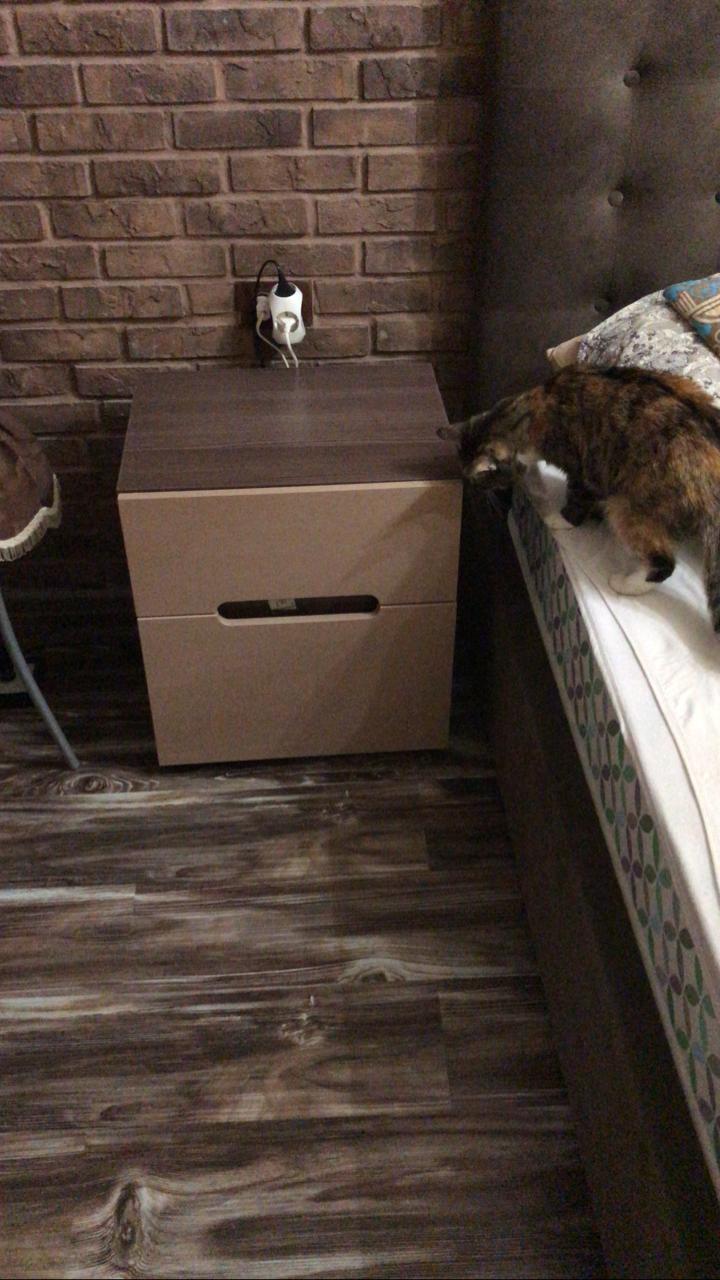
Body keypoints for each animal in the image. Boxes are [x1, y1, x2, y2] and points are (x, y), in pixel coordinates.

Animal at [440, 365, 720, 630]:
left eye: (477, 480)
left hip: (624, 505)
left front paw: (560, 519)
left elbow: (577, 497)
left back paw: (625, 584)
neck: (530, 412)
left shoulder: (584, 469)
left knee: (664, 562)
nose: (472, 487)